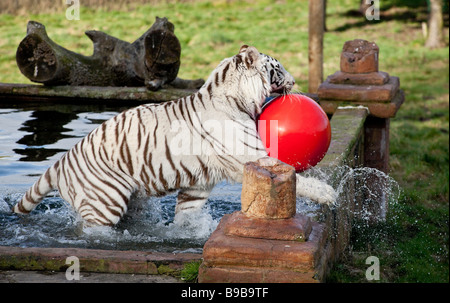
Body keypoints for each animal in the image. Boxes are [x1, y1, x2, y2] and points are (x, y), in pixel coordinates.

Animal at [12, 44, 336, 226]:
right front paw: (329, 193)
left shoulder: (199, 183)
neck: (237, 98)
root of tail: (61, 161)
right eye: (278, 68)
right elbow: (296, 176)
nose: (295, 82)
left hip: (131, 200)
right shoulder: (252, 156)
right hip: (104, 202)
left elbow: (187, 216)